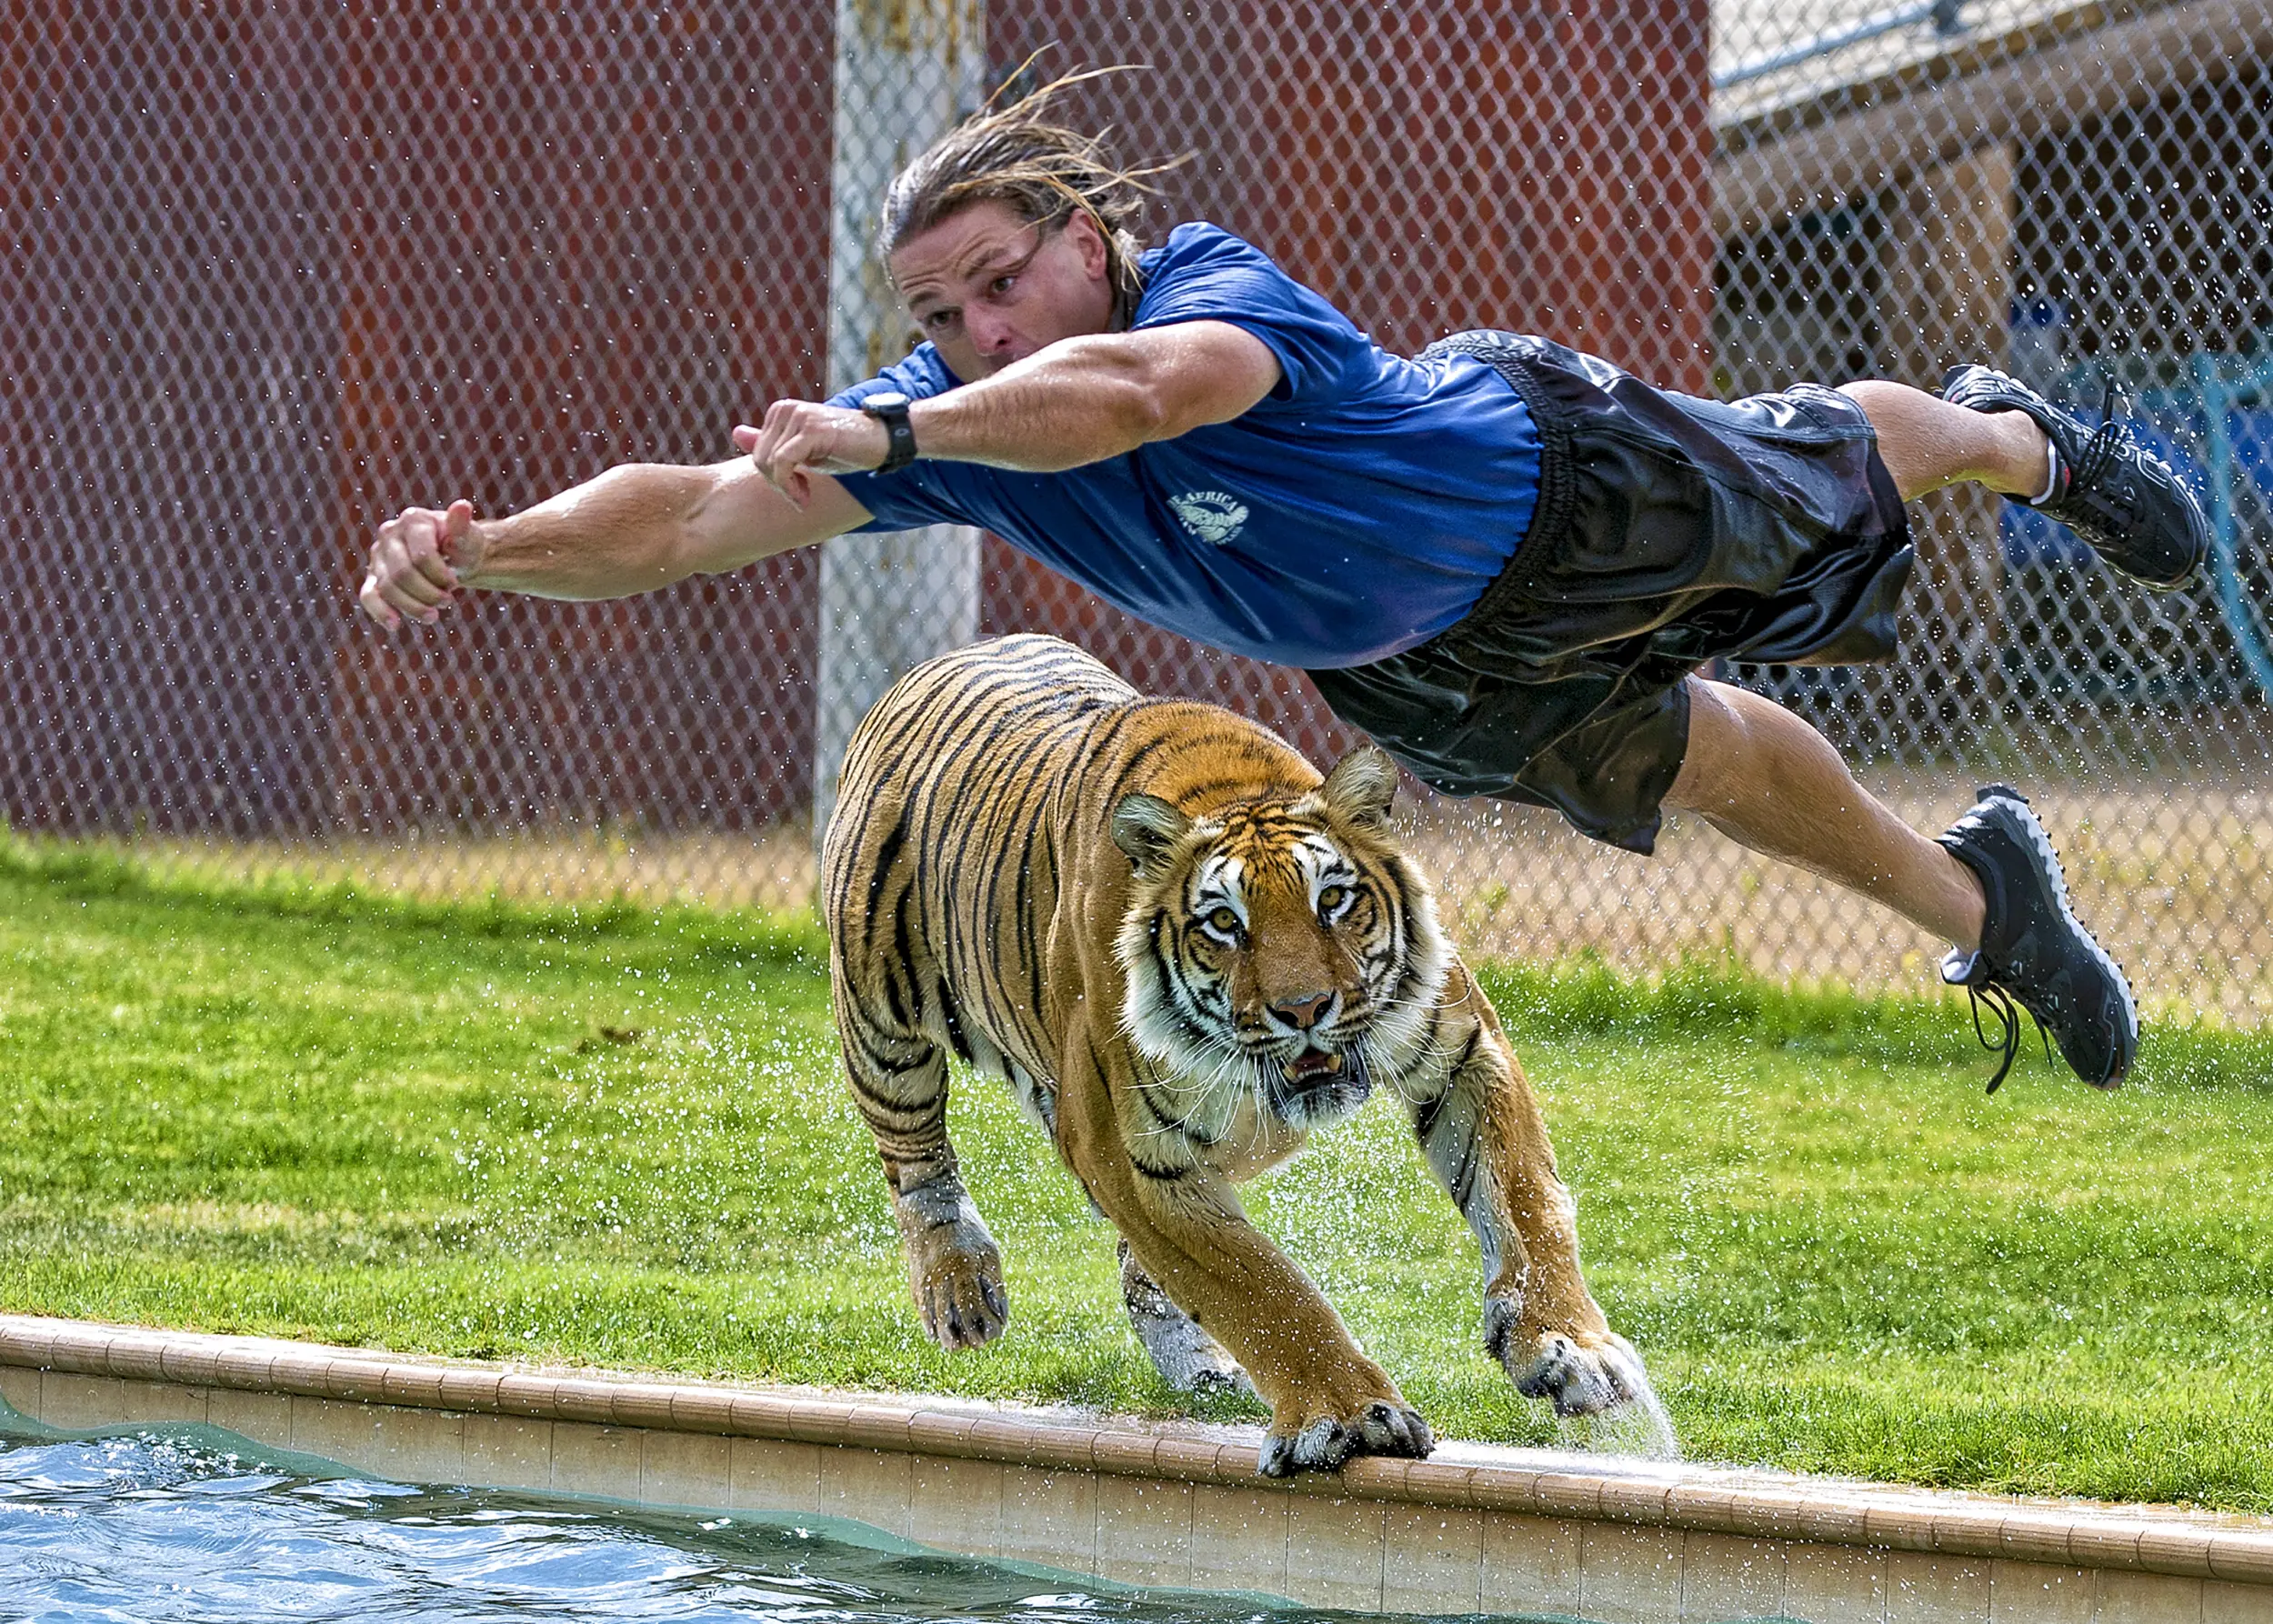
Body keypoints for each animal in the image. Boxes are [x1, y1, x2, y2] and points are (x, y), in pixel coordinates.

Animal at [821, 633, 1645, 1476]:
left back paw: (1202, 1367)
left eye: (1333, 900)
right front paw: (1345, 1416)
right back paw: (958, 1290)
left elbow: (1524, 1196)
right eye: (1224, 923)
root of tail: (942, 662)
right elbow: (1259, 1289)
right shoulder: (1128, 1152)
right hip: (882, 1018)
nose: (1305, 1009)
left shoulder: (1462, 1050)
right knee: (916, 1155)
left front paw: (1572, 1353)